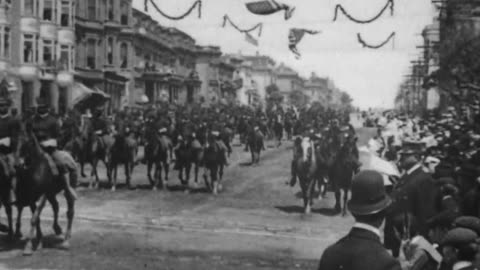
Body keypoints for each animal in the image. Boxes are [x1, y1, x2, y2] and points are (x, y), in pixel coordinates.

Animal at [15, 126, 76, 255]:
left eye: (27, 143)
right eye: (15, 143)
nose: (17, 165)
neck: (37, 169)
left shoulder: (43, 195)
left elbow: (34, 218)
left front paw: (28, 247)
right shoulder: (31, 197)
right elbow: (36, 218)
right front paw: (38, 242)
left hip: (67, 189)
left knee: (70, 211)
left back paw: (66, 241)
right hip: (51, 193)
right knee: (56, 206)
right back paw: (57, 228)